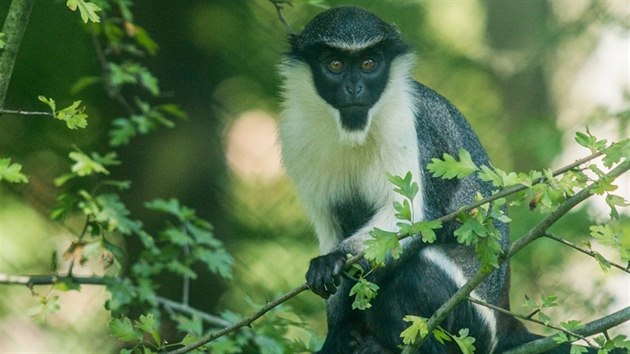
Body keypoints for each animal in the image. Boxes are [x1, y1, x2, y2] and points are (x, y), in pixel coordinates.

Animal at [280, 5, 604, 354]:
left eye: (368, 63)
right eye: (335, 64)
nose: (355, 88)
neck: (354, 128)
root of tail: (506, 323)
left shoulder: (408, 125)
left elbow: (413, 221)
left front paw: (334, 260)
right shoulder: (296, 135)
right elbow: (331, 229)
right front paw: (337, 332)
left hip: (472, 325)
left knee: (417, 270)